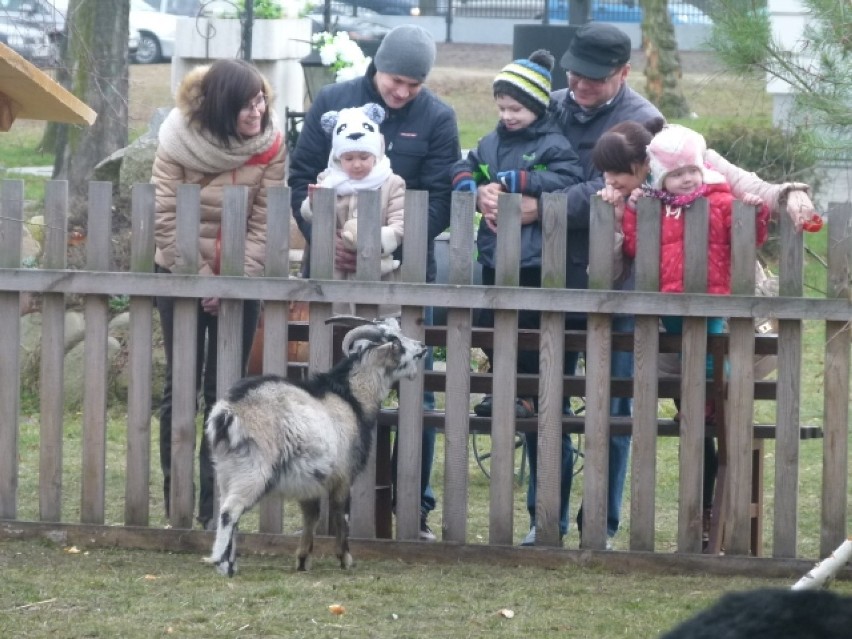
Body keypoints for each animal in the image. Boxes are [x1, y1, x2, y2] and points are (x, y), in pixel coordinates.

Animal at [201, 318, 426, 576]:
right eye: (395, 341)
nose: (423, 347)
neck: (351, 398)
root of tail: (227, 413)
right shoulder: (343, 474)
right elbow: (339, 514)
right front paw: (345, 559)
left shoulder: (308, 480)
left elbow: (312, 515)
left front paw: (302, 559)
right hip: (254, 468)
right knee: (230, 511)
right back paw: (224, 564)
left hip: (226, 469)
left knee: (226, 509)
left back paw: (231, 560)